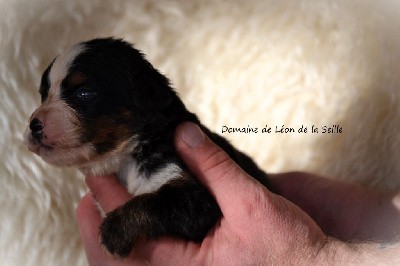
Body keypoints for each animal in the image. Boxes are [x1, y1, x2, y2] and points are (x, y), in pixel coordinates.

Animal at [24, 37, 268, 258]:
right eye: (43, 95)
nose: (33, 124)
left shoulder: (194, 196)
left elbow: (152, 202)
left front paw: (114, 231)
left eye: (83, 93)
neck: (124, 159)